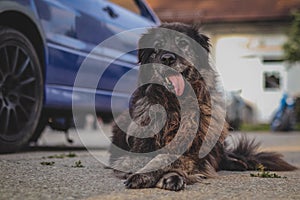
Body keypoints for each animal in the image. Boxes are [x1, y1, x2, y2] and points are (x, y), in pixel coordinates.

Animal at [108, 22, 298, 191]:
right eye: (158, 46)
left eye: (183, 43)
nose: (167, 58)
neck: (176, 105)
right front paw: (145, 174)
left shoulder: (194, 150)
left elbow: (174, 160)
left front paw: (171, 176)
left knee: (221, 156)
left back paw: (237, 162)